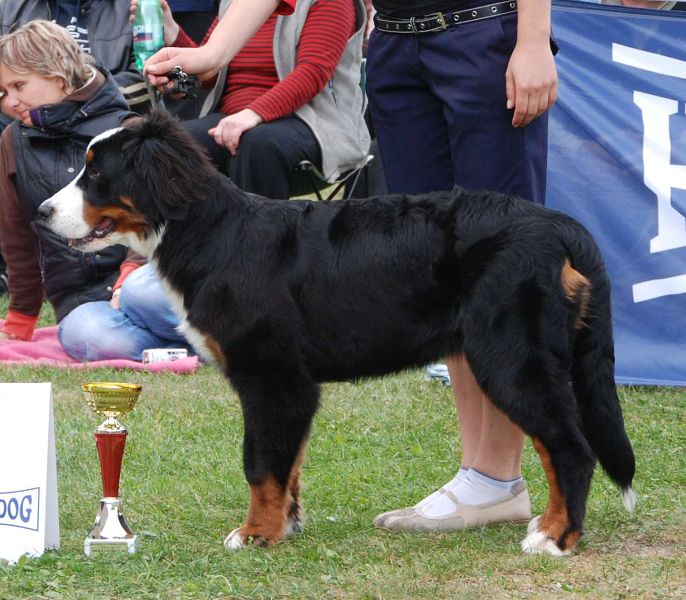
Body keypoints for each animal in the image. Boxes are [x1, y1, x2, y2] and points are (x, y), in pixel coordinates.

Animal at [37, 110, 640, 556]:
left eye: (97, 174)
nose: (41, 212)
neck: (212, 234)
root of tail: (558, 224)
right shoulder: (291, 386)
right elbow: (288, 464)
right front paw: (285, 525)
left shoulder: (271, 376)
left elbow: (260, 462)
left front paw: (254, 534)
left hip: (511, 356)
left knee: (570, 447)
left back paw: (555, 536)